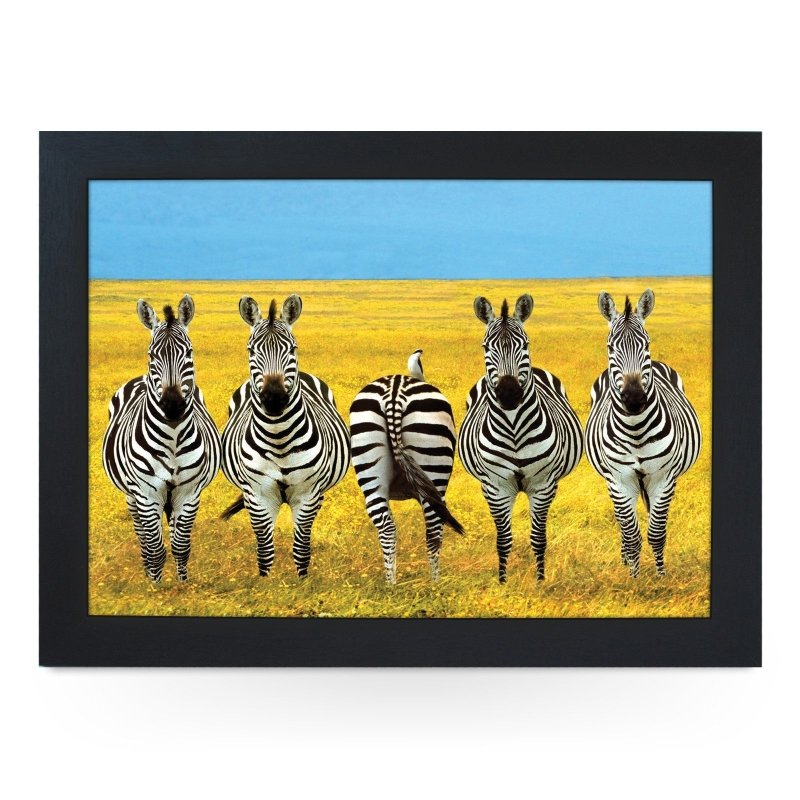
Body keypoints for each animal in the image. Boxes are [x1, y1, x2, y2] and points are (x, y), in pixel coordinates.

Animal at [102, 296, 221, 582]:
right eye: (152, 355)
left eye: (189, 353)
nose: (172, 405)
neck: (173, 439)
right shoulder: (146, 492)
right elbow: (155, 547)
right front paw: (154, 586)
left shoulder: (189, 492)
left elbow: (180, 544)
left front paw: (182, 584)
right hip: (132, 496)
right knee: (143, 536)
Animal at [220, 295, 350, 577]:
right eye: (251, 351)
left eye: (293, 348)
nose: (274, 398)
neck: (279, 439)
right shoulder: (258, 495)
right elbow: (265, 549)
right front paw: (265, 583)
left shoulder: (308, 494)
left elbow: (301, 547)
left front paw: (303, 582)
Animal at [350, 350, 463, 583]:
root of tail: (394, 390)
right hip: (434, 467)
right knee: (433, 530)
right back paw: (435, 584)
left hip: (368, 462)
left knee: (387, 528)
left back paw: (391, 584)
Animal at [458, 295, 583, 583]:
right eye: (486, 347)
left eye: (525, 344)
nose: (509, 393)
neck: (514, 429)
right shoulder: (495, 487)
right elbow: (503, 540)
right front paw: (503, 581)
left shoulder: (543, 485)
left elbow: (538, 538)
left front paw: (540, 580)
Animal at [585, 289, 701, 577]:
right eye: (610, 347)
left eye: (646, 344)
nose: (635, 398)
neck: (636, 429)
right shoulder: (619, 479)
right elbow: (631, 534)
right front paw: (634, 578)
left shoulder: (664, 478)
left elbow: (656, 533)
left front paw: (660, 577)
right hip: (613, 482)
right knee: (622, 524)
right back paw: (625, 559)